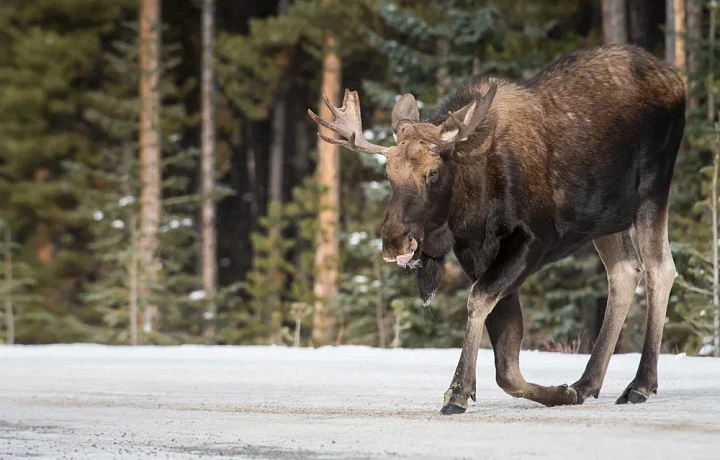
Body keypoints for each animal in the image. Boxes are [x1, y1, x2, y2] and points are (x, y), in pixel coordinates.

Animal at [308, 45, 688, 416]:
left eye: (433, 173)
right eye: (389, 174)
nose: (393, 240)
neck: (472, 204)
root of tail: (677, 80)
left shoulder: (535, 239)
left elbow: (478, 302)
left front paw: (458, 391)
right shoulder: (477, 254)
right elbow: (506, 360)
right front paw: (560, 393)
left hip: (652, 188)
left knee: (660, 268)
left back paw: (640, 384)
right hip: (606, 219)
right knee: (625, 270)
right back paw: (586, 382)